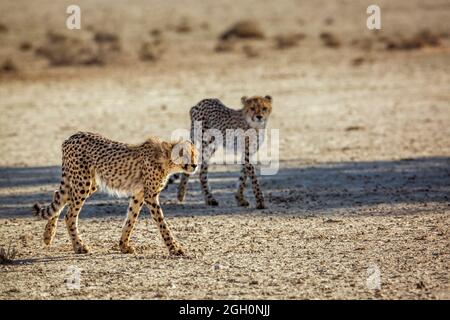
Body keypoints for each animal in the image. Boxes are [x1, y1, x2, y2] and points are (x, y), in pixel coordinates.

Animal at [32, 132, 198, 255]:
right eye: (183, 154)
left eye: (195, 154)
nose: (195, 165)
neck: (165, 160)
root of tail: (71, 137)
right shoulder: (150, 195)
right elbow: (162, 223)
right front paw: (174, 248)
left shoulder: (139, 194)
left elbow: (131, 219)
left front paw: (124, 246)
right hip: (83, 183)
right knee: (69, 214)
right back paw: (79, 246)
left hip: (88, 184)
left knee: (58, 195)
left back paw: (48, 236)